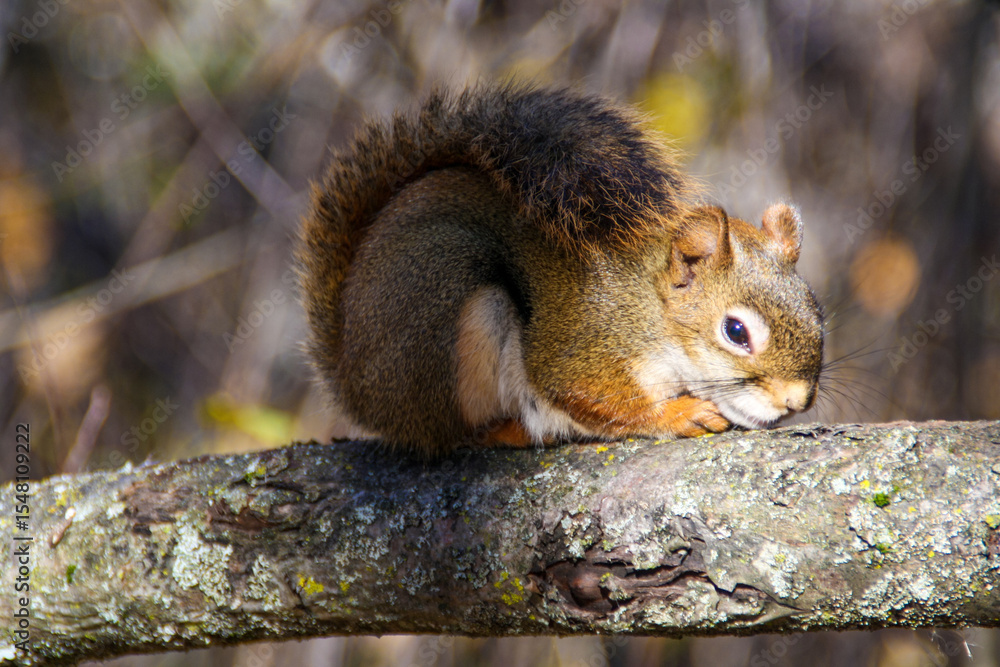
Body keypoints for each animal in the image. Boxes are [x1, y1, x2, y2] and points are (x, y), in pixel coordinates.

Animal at [296, 83, 824, 457]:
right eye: (736, 331)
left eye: (818, 311)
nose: (796, 401)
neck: (649, 310)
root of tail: (355, 384)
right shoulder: (582, 344)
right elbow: (595, 399)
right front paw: (680, 415)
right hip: (445, 295)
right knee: (452, 435)